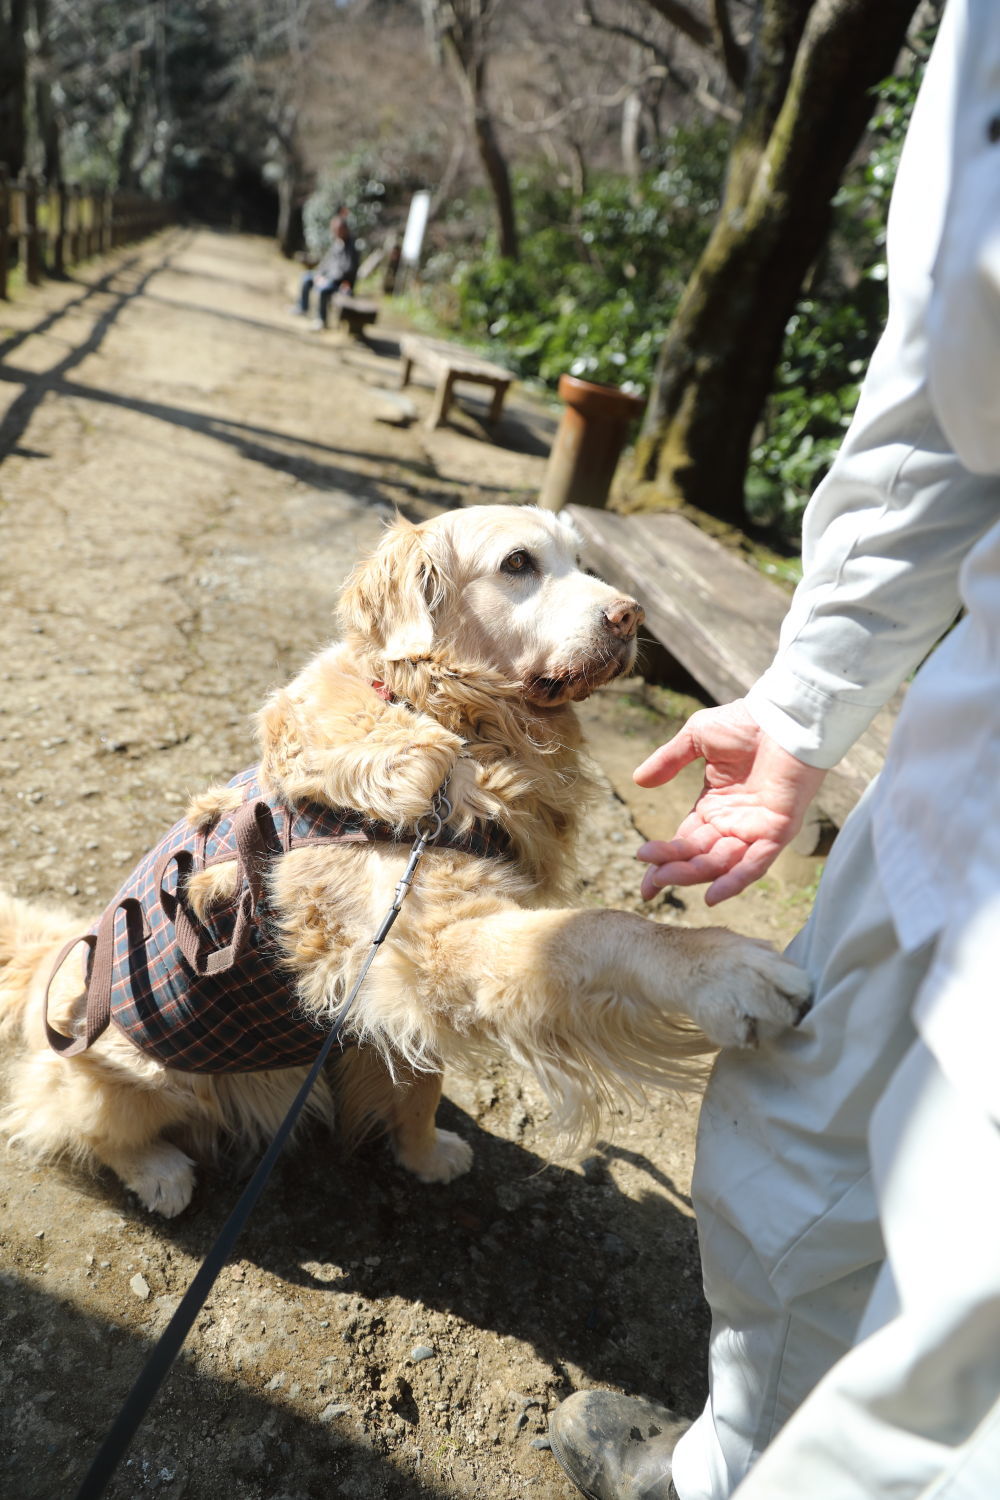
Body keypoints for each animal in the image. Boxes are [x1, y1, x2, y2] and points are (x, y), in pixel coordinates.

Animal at [0, 507, 809, 1218]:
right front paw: (723, 970)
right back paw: (160, 1172)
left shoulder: (401, 980)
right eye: (519, 563)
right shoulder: (440, 942)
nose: (632, 616)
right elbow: (600, 931)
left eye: (583, 560)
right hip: (143, 1075)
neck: (450, 722)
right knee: (74, 1123)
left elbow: (424, 1081)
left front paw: (423, 1154)